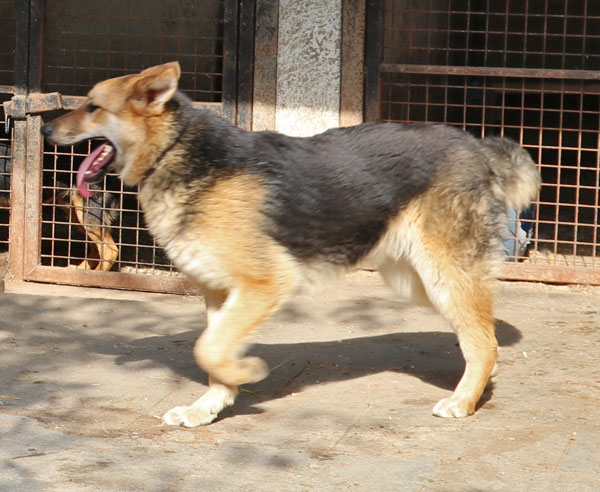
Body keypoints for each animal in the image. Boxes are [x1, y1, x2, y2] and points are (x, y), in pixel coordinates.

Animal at [41, 62, 540, 426]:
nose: (43, 131)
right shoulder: (220, 294)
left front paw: (244, 373)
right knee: (482, 334)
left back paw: (463, 400)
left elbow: (209, 349)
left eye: (92, 106)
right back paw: (480, 380)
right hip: (418, 281)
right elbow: (211, 352)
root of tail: (474, 145)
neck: (176, 151)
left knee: (481, 339)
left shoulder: (265, 285)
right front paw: (209, 407)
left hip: (441, 275)